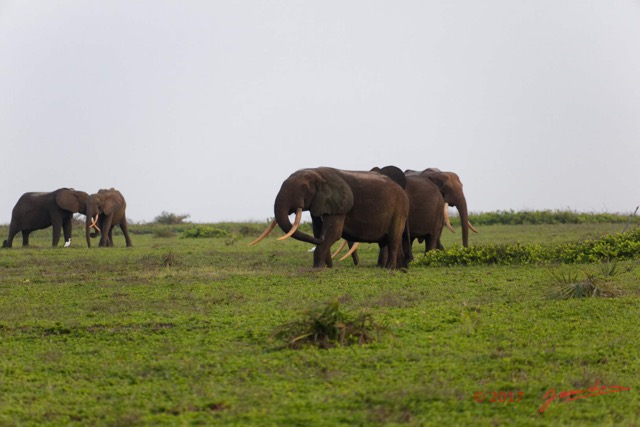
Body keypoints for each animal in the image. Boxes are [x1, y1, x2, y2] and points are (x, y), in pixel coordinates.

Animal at [249, 166, 410, 269]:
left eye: (303, 188)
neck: (317, 173)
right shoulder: (319, 203)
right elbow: (319, 231)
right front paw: (327, 267)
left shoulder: (339, 205)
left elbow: (333, 233)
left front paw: (317, 268)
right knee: (389, 241)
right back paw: (400, 268)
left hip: (399, 209)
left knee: (393, 238)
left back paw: (390, 269)